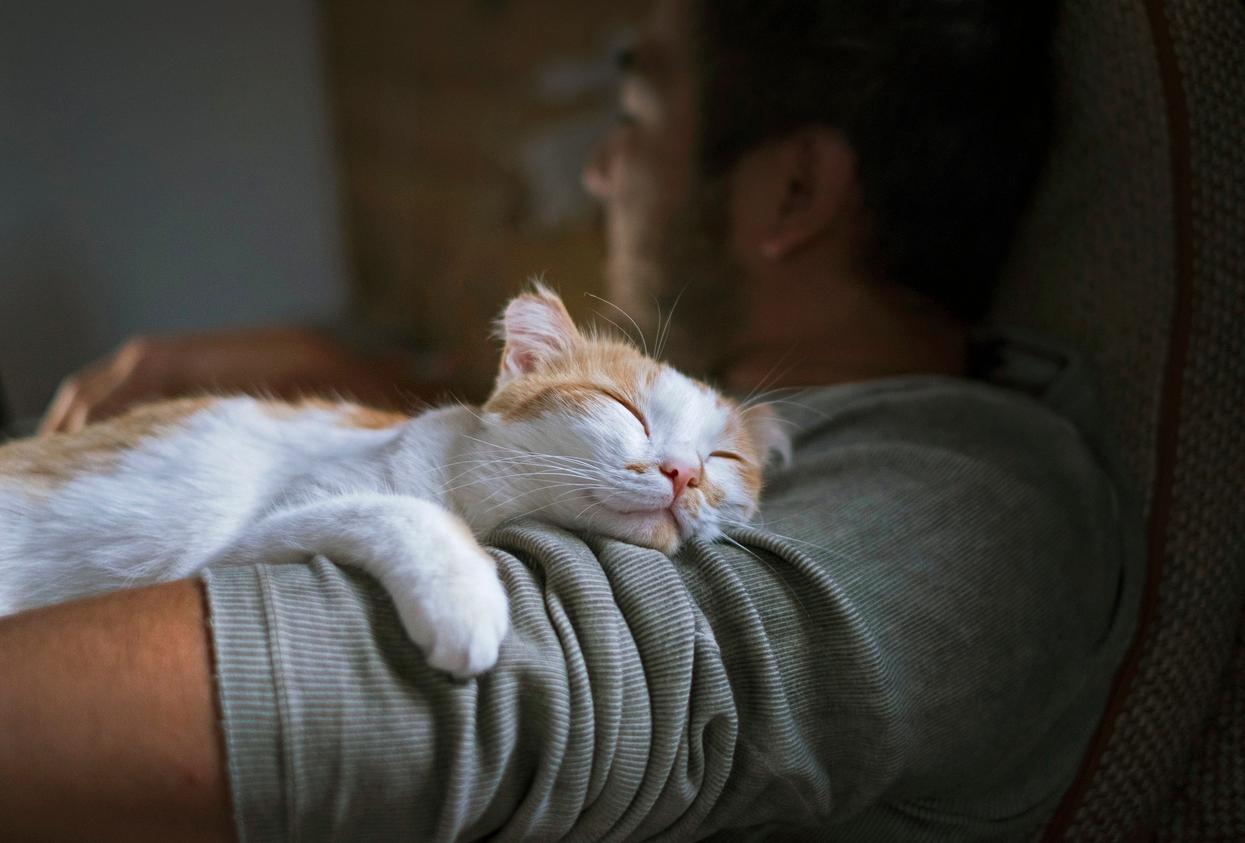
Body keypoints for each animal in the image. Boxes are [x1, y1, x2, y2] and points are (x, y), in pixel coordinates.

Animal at [0, 287, 786, 677]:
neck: (467, 481)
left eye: (723, 459)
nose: (685, 472)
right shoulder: (239, 543)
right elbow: (403, 509)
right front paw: (465, 602)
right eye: (623, 408)